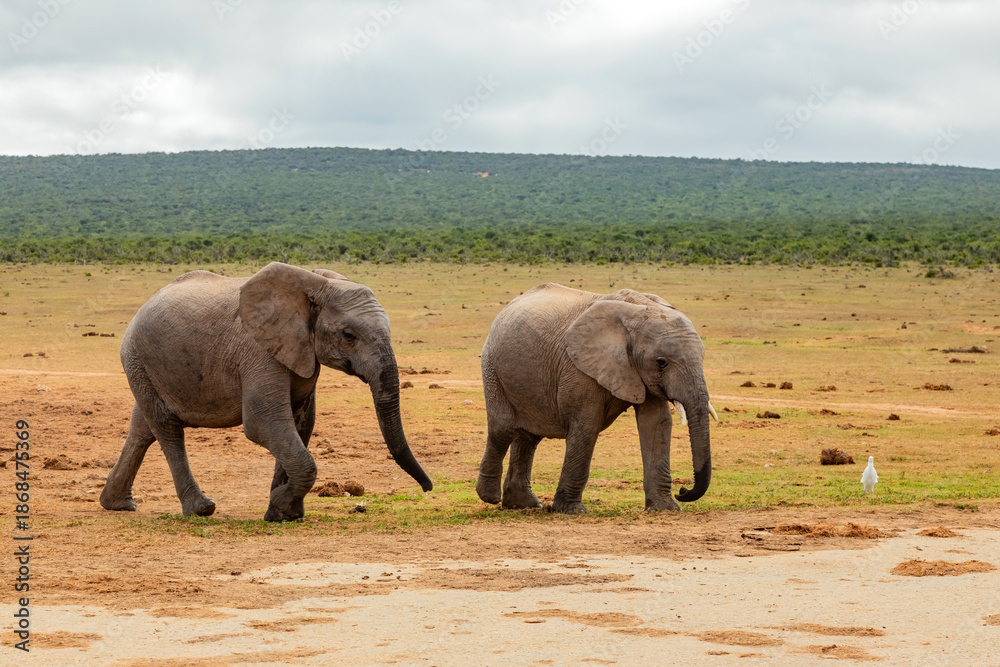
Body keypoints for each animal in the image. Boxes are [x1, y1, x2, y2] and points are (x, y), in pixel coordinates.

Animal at [99, 262, 432, 522]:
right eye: (348, 335)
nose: (428, 488)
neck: (315, 284)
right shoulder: (259, 352)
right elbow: (265, 423)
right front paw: (282, 506)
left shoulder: (302, 352)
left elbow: (300, 424)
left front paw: (282, 514)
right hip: (137, 357)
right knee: (167, 428)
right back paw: (201, 509)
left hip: (145, 367)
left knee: (143, 428)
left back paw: (117, 504)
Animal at [476, 283, 716, 514]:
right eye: (661, 362)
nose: (682, 490)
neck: (638, 311)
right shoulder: (578, 366)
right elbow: (587, 425)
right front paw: (572, 511)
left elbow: (656, 424)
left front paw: (666, 509)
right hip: (492, 365)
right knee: (503, 429)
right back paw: (490, 497)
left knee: (528, 438)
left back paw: (524, 505)